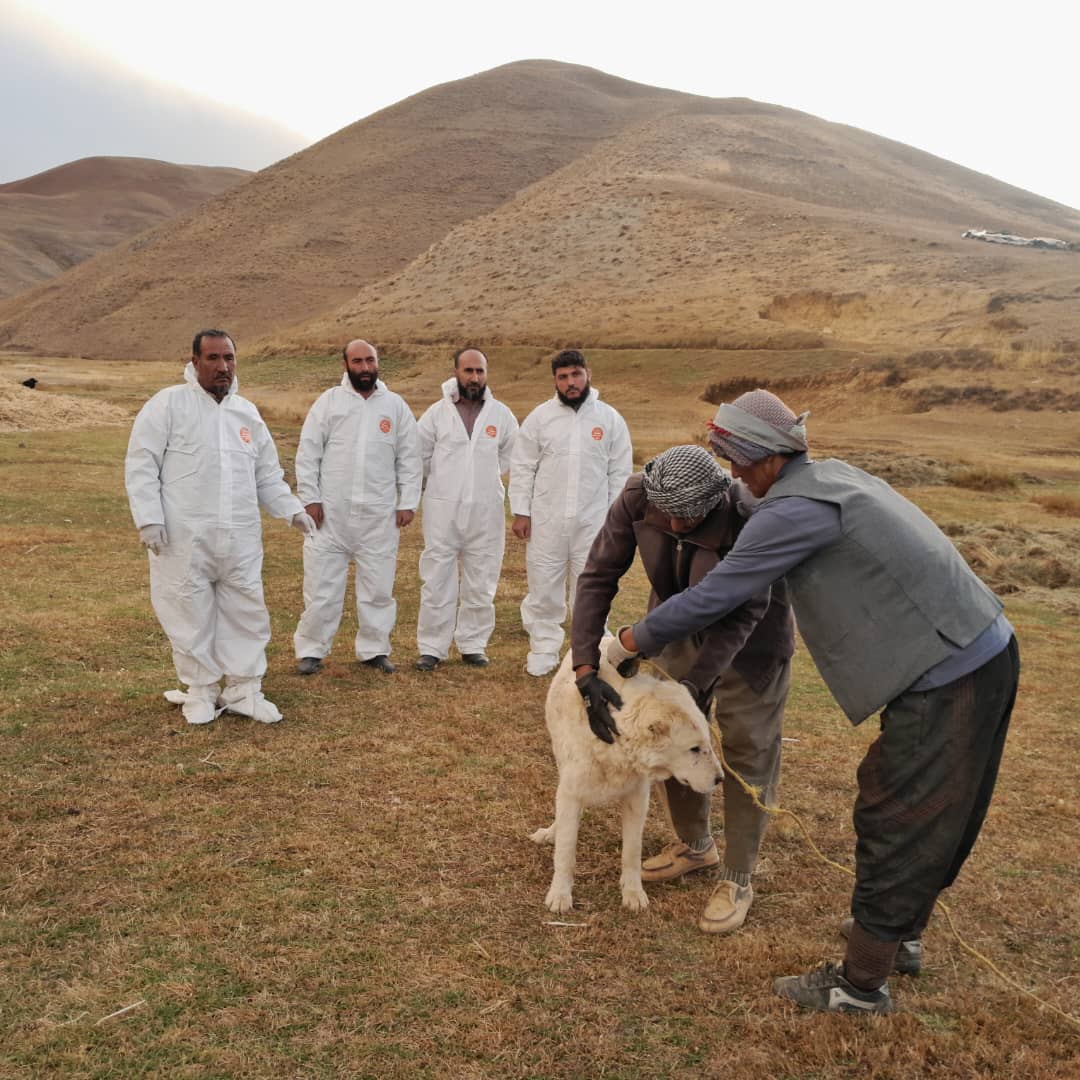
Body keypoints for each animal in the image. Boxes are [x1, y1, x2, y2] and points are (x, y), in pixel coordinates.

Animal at [533, 639, 725, 911]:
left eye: (706, 744)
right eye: (694, 749)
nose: (720, 779)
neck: (617, 743)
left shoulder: (637, 800)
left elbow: (632, 852)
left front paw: (633, 892)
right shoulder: (571, 794)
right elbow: (565, 852)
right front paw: (560, 895)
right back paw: (552, 832)